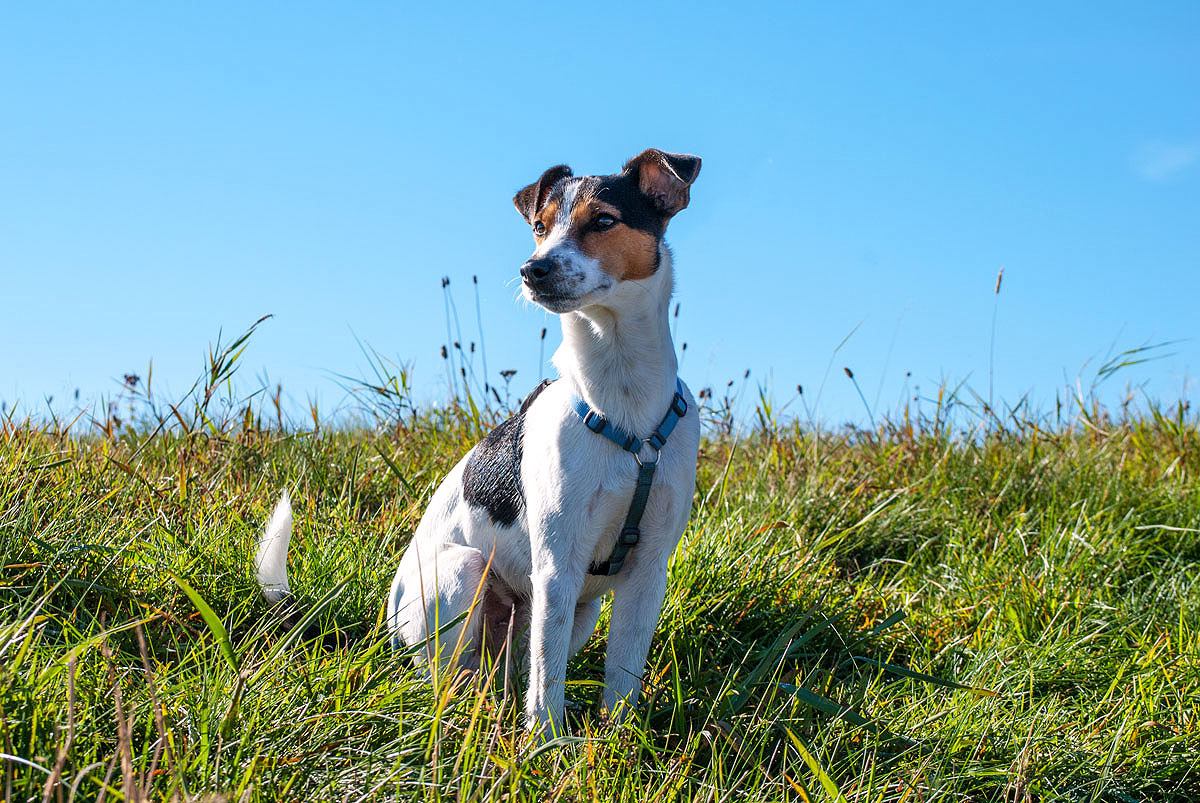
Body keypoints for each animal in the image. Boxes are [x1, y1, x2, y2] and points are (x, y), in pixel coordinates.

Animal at [255, 147, 700, 734]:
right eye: (539, 227)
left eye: (603, 221)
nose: (533, 269)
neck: (623, 404)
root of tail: (384, 625)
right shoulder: (557, 565)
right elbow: (547, 680)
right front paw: (547, 744)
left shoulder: (647, 572)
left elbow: (620, 673)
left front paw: (617, 743)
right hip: (463, 575)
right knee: (450, 680)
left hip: (576, 612)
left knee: (511, 669)